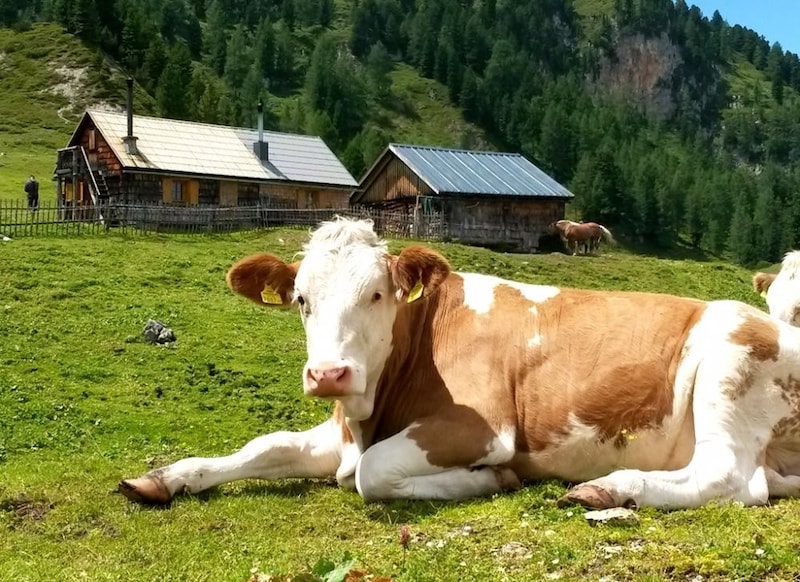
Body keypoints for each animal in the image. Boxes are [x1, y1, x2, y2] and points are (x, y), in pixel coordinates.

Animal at [119, 218, 800, 512]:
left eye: (378, 294)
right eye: (301, 300)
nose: (329, 374)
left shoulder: (481, 427)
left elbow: (369, 472)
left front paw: (490, 480)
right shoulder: (340, 428)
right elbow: (264, 446)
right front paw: (164, 476)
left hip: (730, 366)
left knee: (728, 479)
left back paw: (609, 487)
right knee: (755, 483)